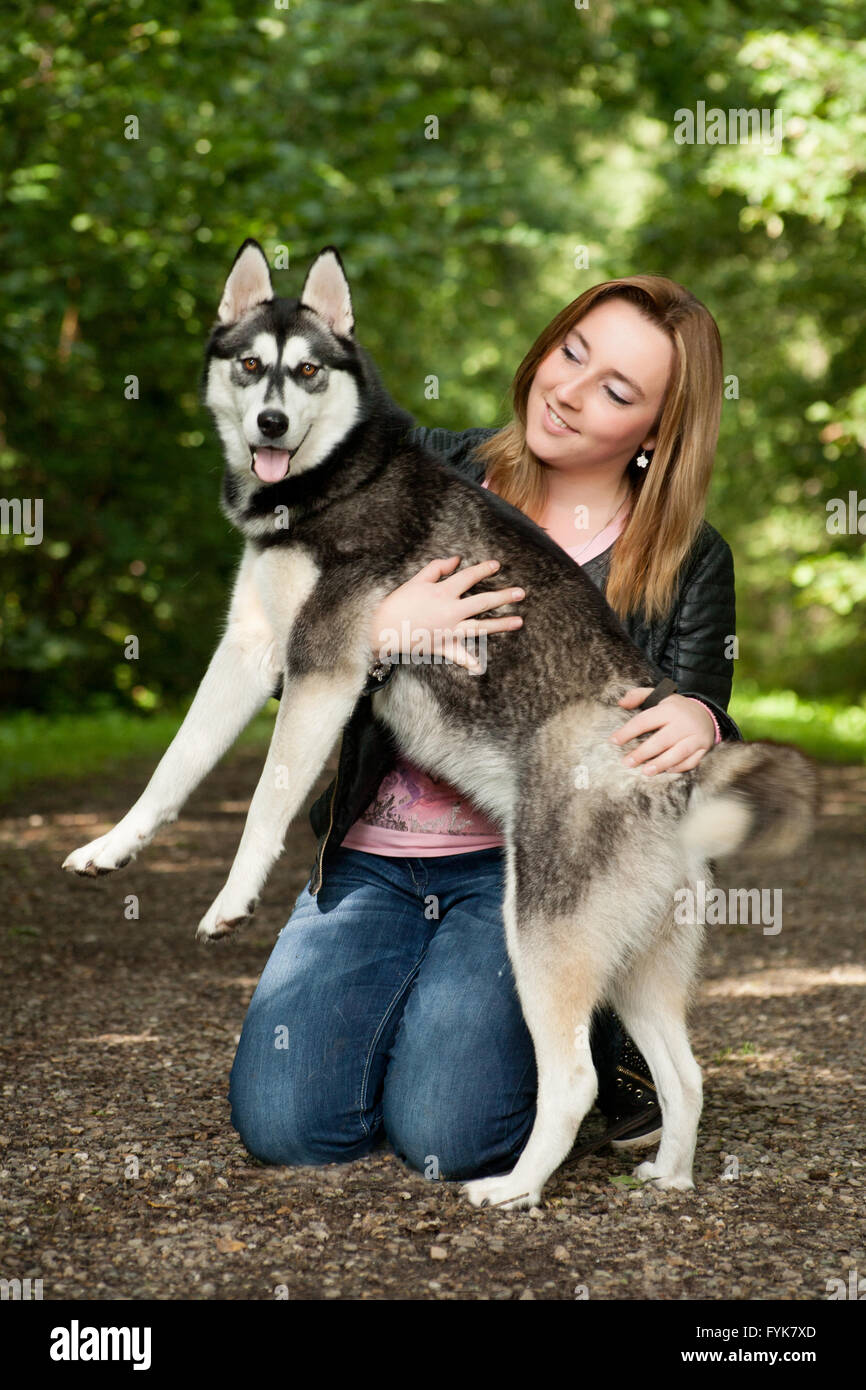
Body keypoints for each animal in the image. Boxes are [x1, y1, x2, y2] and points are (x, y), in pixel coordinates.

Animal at [62, 244, 817, 1212]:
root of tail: (678, 779)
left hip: (541, 936)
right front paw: (112, 846)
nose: (271, 423)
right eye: (251, 364)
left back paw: (515, 1190)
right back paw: (669, 1177)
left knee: (573, 1081)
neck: (334, 480)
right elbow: (174, 766)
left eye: (309, 371)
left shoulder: (326, 669)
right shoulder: (251, 653)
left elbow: (265, 802)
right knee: (686, 1077)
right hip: (636, 965)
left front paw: (232, 897)